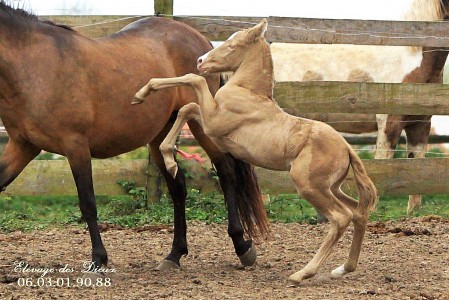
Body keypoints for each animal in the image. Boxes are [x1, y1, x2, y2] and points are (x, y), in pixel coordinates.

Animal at [0, 0, 268, 270]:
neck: (38, 66)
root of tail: (200, 42)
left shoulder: (75, 146)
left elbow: (88, 203)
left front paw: (98, 259)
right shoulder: (23, 146)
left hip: (202, 123)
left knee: (226, 173)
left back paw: (242, 246)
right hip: (161, 134)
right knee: (178, 186)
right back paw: (174, 254)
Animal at [134, 19, 378, 284]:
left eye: (232, 45)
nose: (200, 61)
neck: (247, 92)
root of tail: (347, 148)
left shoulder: (213, 123)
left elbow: (193, 84)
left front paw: (144, 100)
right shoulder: (209, 121)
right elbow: (187, 107)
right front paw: (166, 152)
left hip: (310, 187)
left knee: (341, 217)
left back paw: (303, 273)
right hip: (331, 187)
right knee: (359, 213)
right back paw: (344, 268)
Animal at [270, 0, 448, 213]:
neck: (410, 60)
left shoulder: (419, 125)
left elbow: (416, 164)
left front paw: (413, 212)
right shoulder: (389, 122)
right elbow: (383, 163)